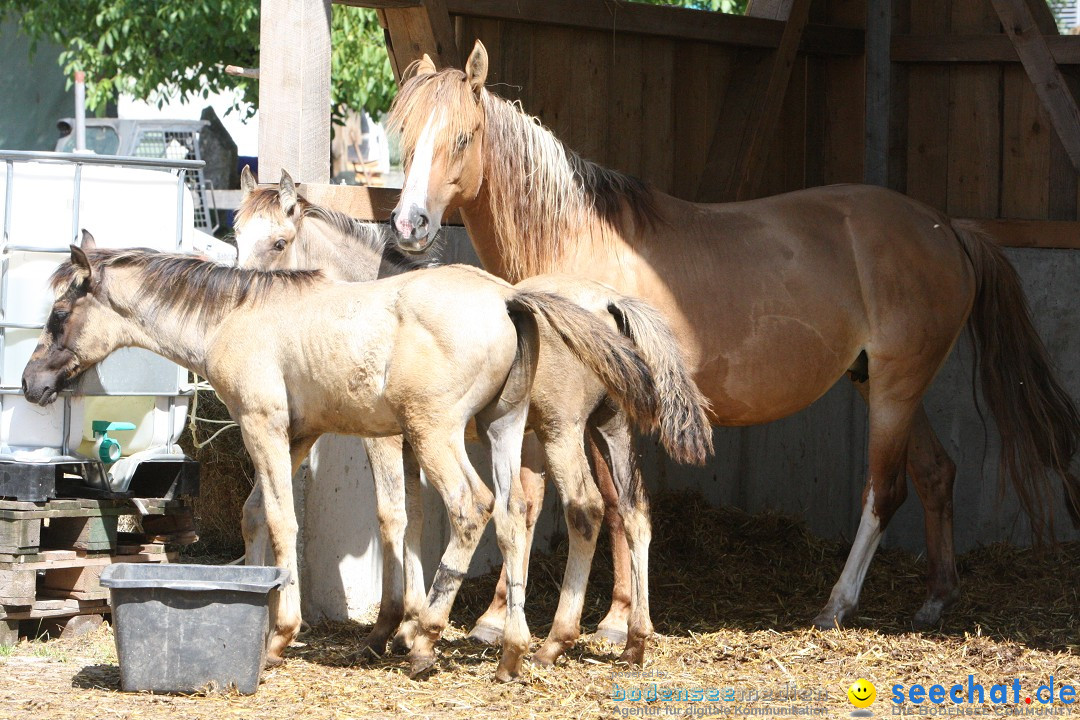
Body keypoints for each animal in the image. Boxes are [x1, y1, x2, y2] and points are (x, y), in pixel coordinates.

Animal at [388, 38, 1080, 647]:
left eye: (463, 138)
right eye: (405, 137)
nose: (408, 225)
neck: (577, 245)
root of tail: (947, 228)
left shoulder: (610, 410)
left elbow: (615, 504)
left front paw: (615, 620)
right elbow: (526, 500)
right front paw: (495, 621)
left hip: (894, 389)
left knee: (884, 491)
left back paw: (836, 605)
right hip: (887, 386)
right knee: (936, 472)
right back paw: (936, 599)